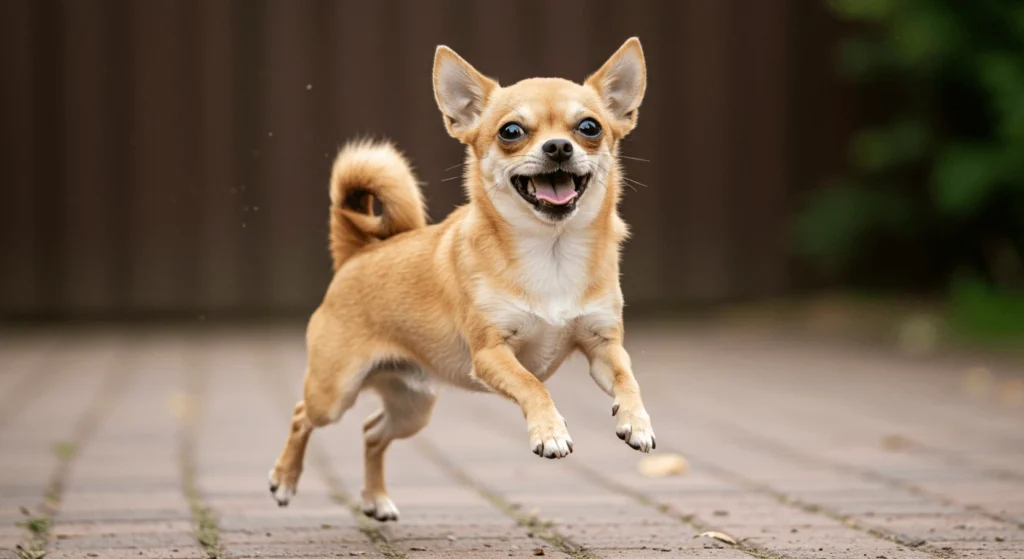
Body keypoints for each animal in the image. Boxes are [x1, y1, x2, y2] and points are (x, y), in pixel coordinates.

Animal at [270, 38, 655, 518]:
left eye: (589, 127)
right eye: (511, 132)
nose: (559, 147)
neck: (551, 251)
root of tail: (358, 252)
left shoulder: (604, 346)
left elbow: (628, 377)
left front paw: (636, 420)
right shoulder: (491, 353)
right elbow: (532, 384)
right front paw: (549, 432)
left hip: (412, 405)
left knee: (371, 432)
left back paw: (376, 499)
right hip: (334, 392)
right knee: (302, 415)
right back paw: (285, 480)